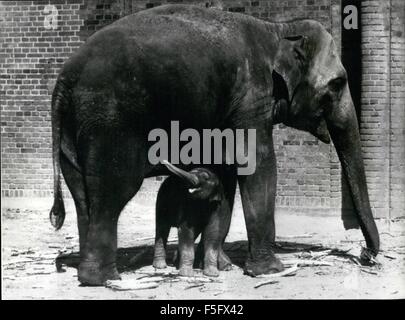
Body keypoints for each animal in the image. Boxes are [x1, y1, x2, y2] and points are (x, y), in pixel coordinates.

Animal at [48, 4, 378, 284]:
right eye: (337, 83)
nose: (366, 255)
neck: (278, 29)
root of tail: (64, 80)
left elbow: (226, 171)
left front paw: (223, 266)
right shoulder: (251, 96)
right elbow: (258, 163)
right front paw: (268, 270)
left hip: (74, 131)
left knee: (83, 195)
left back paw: (92, 271)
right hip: (110, 121)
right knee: (112, 191)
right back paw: (104, 279)